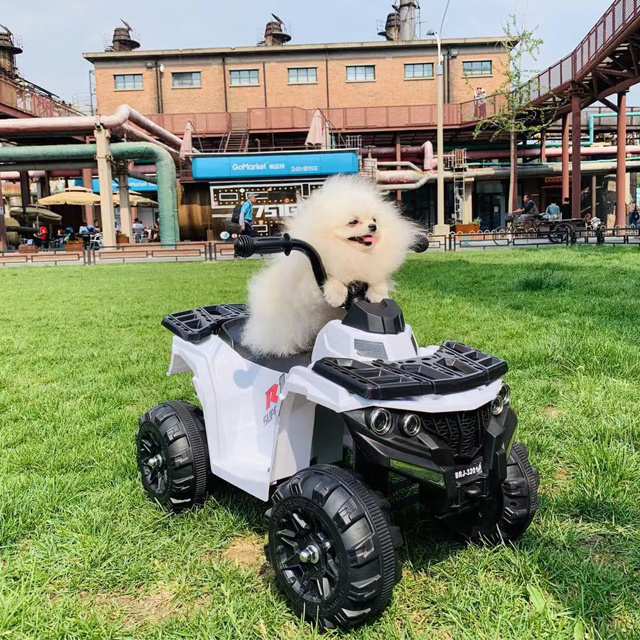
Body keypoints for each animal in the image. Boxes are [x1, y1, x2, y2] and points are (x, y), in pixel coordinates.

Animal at [241, 172, 420, 358]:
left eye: (374, 219)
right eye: (353, 222)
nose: (373, 226)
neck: (349, 252)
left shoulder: (368, 270)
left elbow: (377, 279)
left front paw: (378, 293)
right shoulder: (311, 281)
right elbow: (330, 280)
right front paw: (336, 295)